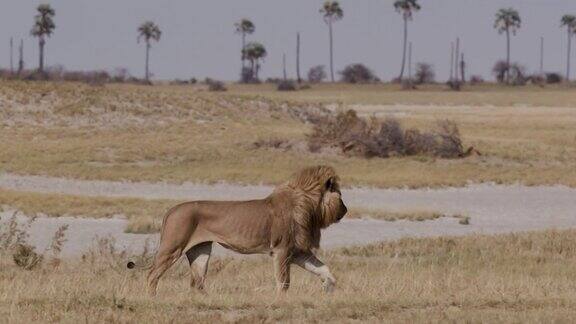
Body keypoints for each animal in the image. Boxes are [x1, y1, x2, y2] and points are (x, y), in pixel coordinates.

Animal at [130, 166, 346, 294]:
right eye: (340, 195)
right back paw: (152, 298)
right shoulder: (282, 249)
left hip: (200, 250)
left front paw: (328, 286)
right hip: (172, 247)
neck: (310, 205)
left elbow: (323, 268)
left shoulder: (297, 251)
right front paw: (281, 300)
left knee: (197, 280)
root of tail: (172, 209)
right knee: (152, 275)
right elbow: (284, 281)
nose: (345, 210)